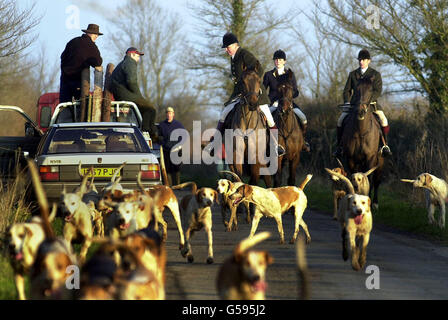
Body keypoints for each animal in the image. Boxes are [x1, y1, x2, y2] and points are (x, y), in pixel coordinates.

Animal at [342, 76, 384, 209]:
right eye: (356, 89)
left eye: (371, 90)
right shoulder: (350, 158)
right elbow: (352, 177)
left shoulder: (370, 158)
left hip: (380, 162)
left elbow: (368, 179)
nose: (360, 112)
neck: (361, 131)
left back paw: (375, 202)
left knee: (376, 181)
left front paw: (367, 201)